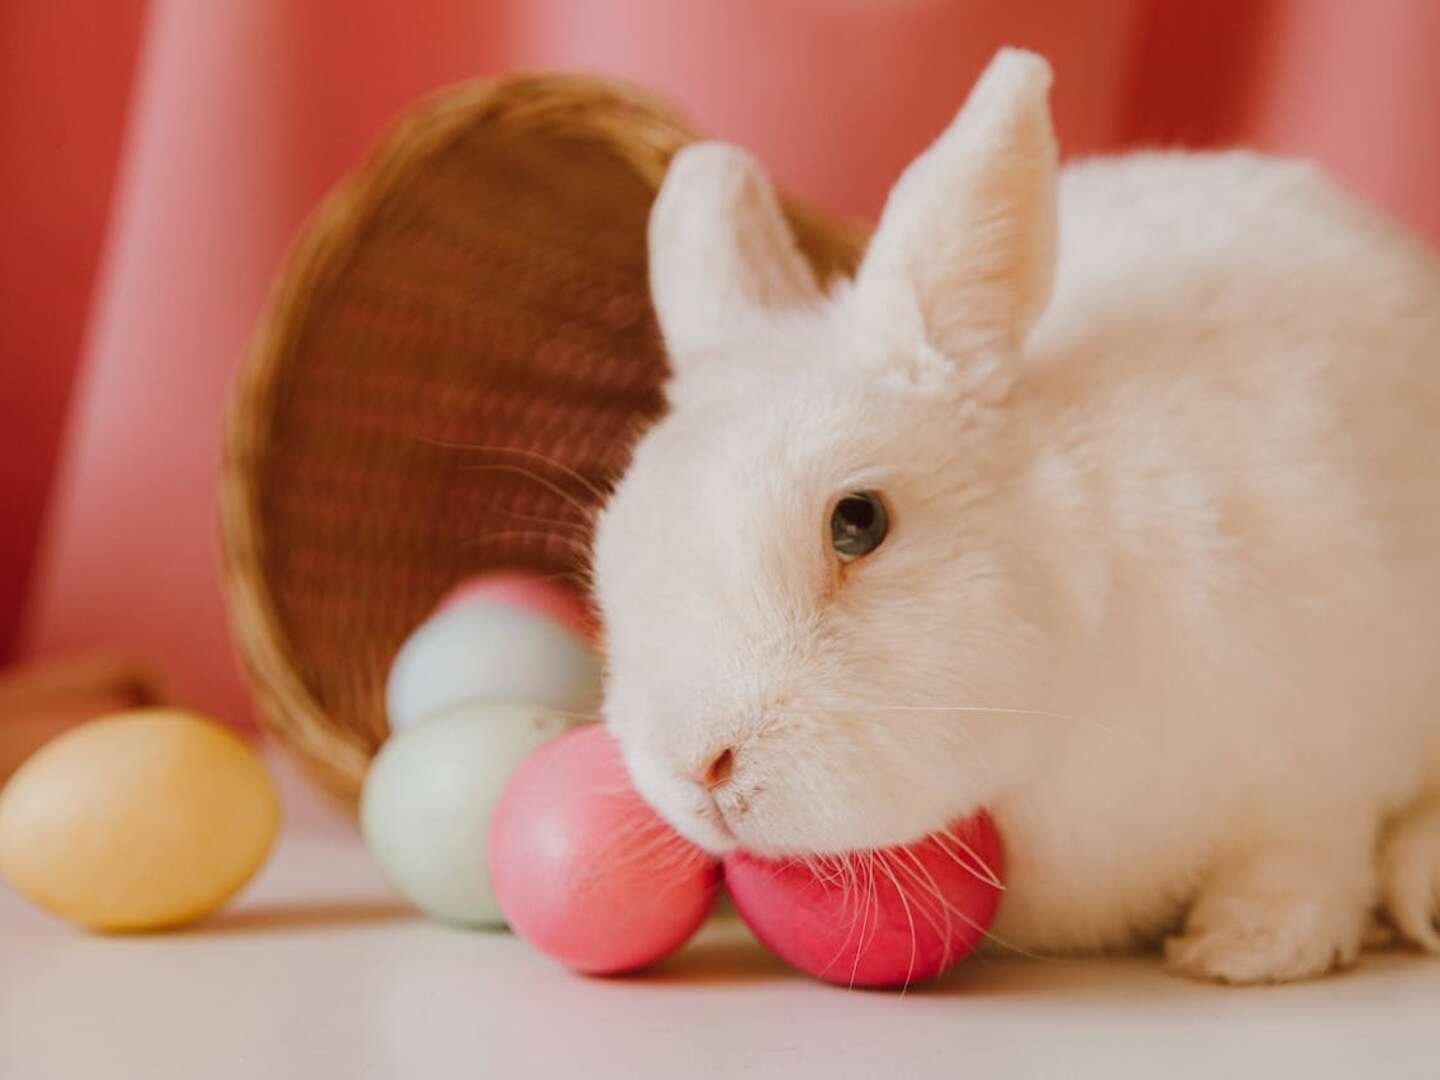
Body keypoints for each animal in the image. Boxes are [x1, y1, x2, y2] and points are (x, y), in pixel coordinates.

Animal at [587, 46, 1440, 984]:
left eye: (858, 522)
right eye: (610, 556)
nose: (696, 767)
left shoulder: (1325, 756)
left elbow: (1306, 855)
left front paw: (1243, 949)